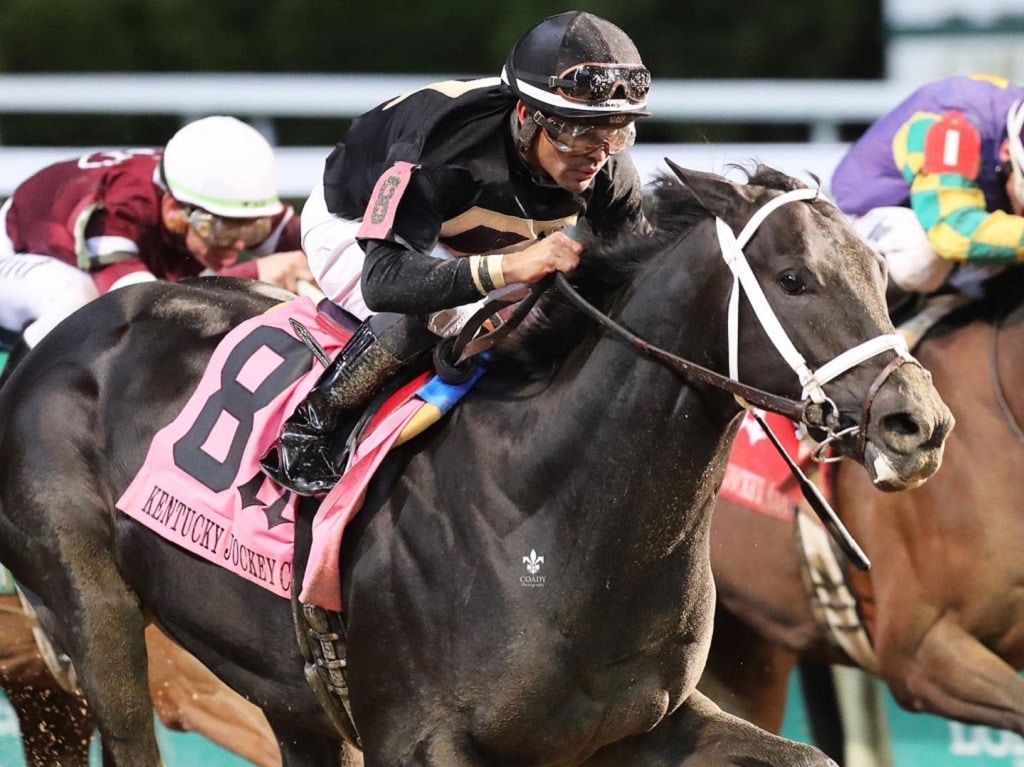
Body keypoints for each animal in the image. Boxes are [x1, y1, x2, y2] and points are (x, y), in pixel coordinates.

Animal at [0, 164, 950, 761]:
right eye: (793, 278)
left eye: (879, 272)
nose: (918, 422)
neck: (550, 520)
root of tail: (55, 347)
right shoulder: (421, 740)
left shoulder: (643, 723)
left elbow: (809, 757)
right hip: (95, 620)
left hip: (285, 692)